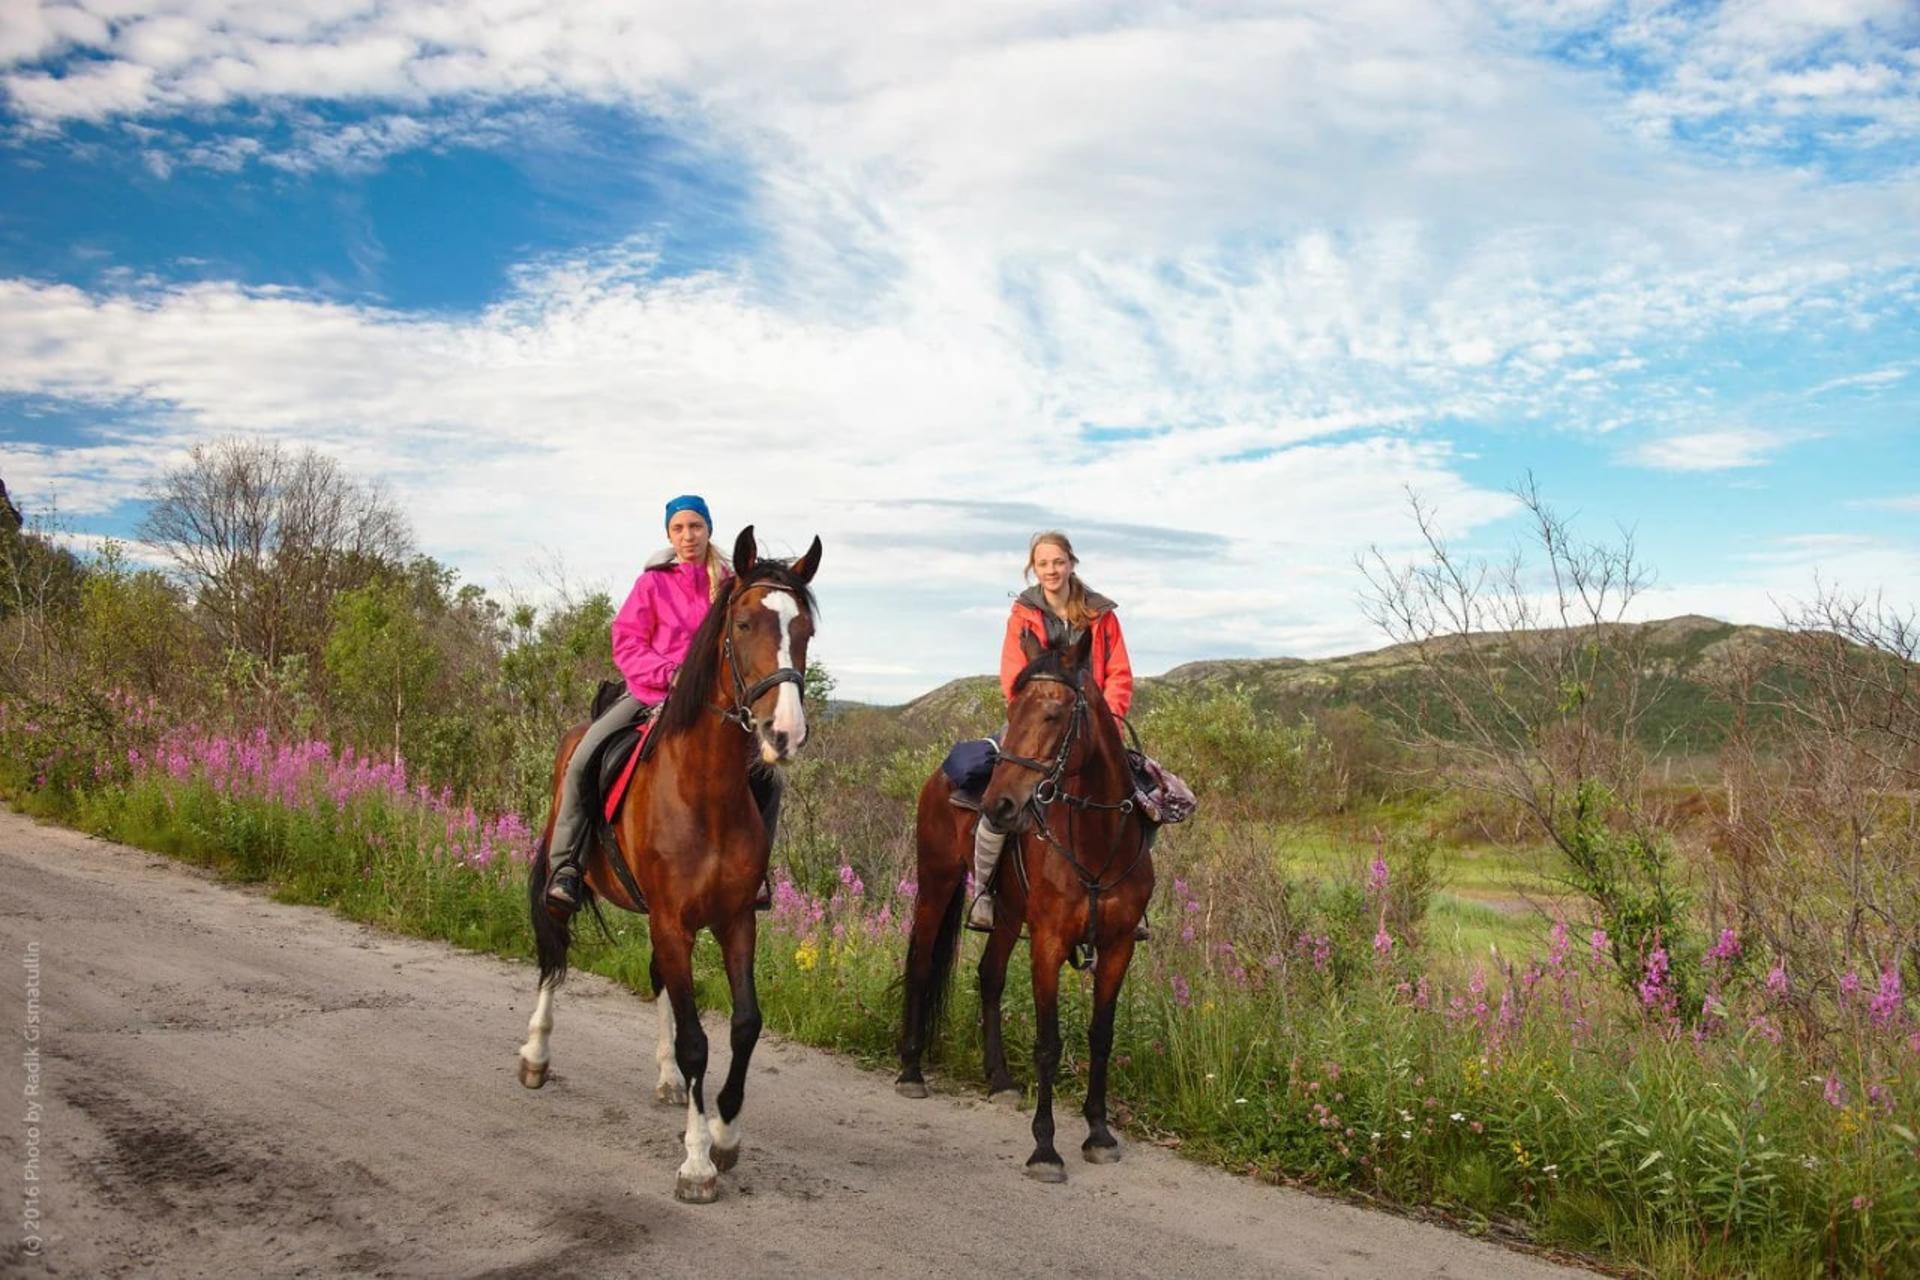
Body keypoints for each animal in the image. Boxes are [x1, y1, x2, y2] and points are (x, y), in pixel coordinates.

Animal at [517, 525, 821, 1204]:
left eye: (806, 630)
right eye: (742, 623)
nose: (784, 734)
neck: (703, 791)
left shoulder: (734, 920)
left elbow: (743, 1025)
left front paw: (726, 1131)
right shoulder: (674, 921)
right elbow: (695, 1042)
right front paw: (697, 1162)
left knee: (658, 979)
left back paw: (663, 1083)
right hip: (568, 883)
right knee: (554, 955)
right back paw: (536, 1054)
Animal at [895, 627, 1154, 1181]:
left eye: (1054, 714)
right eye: (1013, 711)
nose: (1000, 804)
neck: (1096, 842)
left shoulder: (1119, 946)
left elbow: (1101, 1035)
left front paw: (1099, 1133)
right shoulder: (1049, 943)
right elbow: (1048, 1044)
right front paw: (1045, 1148)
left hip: (1010, 914)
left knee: (989, 976)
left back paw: (999, 1080)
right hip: (936, 884)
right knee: (922, 964)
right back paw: (910, 1070)